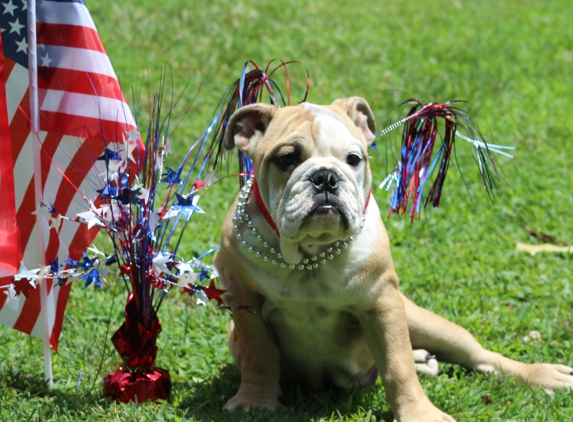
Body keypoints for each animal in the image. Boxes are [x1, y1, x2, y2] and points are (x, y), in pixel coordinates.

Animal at [213, 97, 572, 420]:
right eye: (287, 159)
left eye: (354, 159)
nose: (326, 177)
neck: (311, 254)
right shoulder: (246, 305)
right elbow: (260, 356)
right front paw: (254, 402)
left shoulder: (382, 304)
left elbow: (398, 367)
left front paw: (420, 414)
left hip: (426, 322)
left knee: (479, 356)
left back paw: (537, 374)